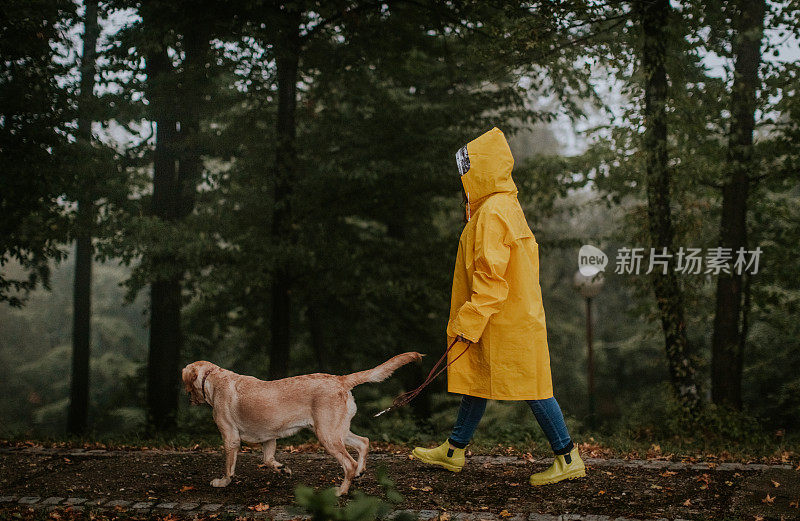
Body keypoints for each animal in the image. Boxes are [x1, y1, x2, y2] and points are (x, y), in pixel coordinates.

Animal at [180, 352, 418, 494]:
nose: (187, 398)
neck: (212, 379)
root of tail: (340, 379)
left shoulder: (230, 438)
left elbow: (229, 468)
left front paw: (223, 482)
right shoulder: (269, 438)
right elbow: (268, 460)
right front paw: (283, 469)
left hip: (327, 435)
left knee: (349, 462)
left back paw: (341, 491)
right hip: (336, 431)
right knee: (364, 442)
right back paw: (359, 472)